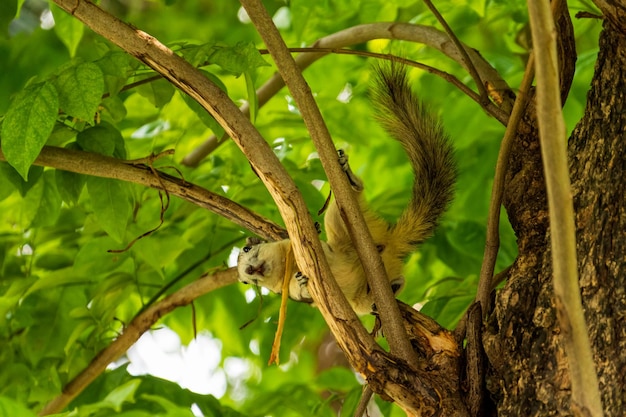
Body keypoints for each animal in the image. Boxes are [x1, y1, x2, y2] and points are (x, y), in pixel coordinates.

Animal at [234, 63, 454, 314]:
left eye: (246, 250)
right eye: (245, 281)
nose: (249, 271)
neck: (285, 266)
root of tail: (390, 244)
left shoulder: (293, 245)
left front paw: (314, 228)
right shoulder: (288, 294)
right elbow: (300, 294)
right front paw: (301, 283)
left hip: (342, 224)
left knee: (338, 214)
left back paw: (350, 180)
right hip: (360, 301)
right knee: (373, 297)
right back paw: (392, 287)